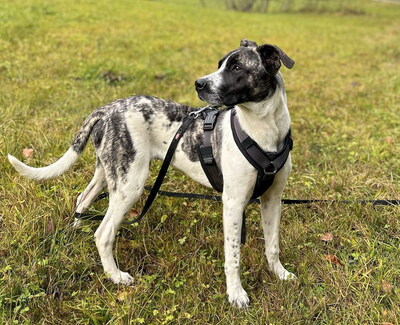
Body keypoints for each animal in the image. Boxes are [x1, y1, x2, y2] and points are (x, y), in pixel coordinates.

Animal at [7, 38, 296, 306]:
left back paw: (76, 229)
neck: (263, 130)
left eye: (236, 67)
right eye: (220, 65)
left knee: (83, 199)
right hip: (130, 184)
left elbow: (273, 245)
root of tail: (107, 109)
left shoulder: (272, 200)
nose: (199, 84)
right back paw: (116, 276)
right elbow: (233, 255)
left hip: (110, 172)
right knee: (103, 233)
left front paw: (279, 274)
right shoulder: (233, 202)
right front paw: (236, 294)